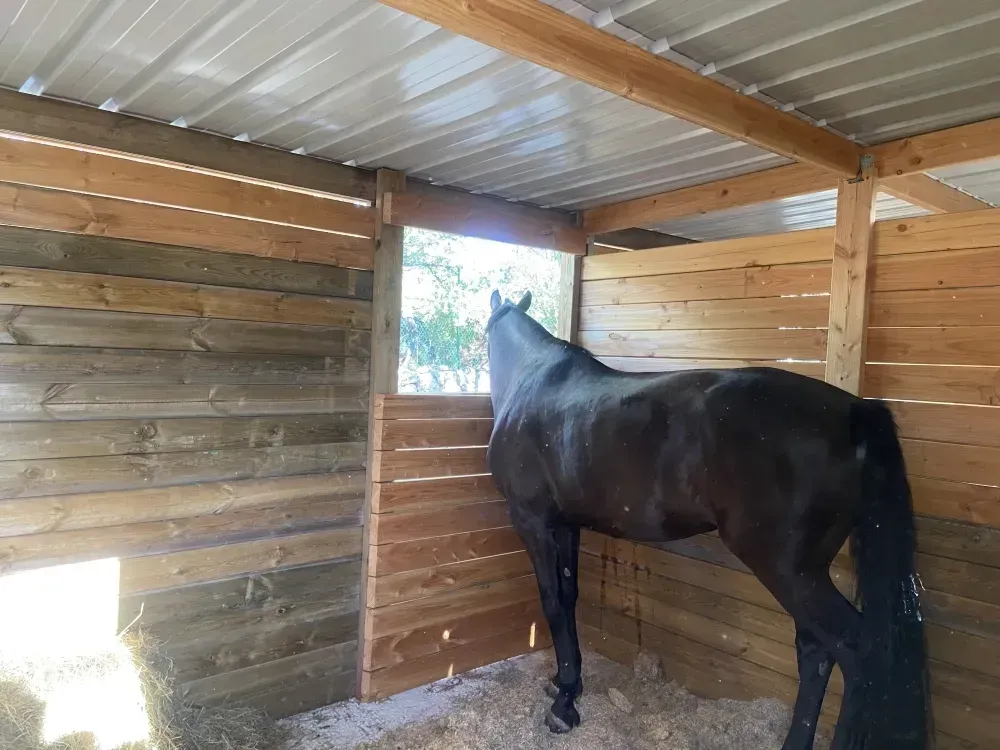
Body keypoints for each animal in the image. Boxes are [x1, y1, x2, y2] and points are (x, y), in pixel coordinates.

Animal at [485, 290, 928, 750]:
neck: (532, 378)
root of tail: (855, 410)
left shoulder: (532, 521)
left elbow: (553, 602)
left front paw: (563, 706)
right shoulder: (565, 525)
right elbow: (569, 597)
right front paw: (564, 683)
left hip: (787, 569)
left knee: (852, 651)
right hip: (807, 572)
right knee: (816, 650)